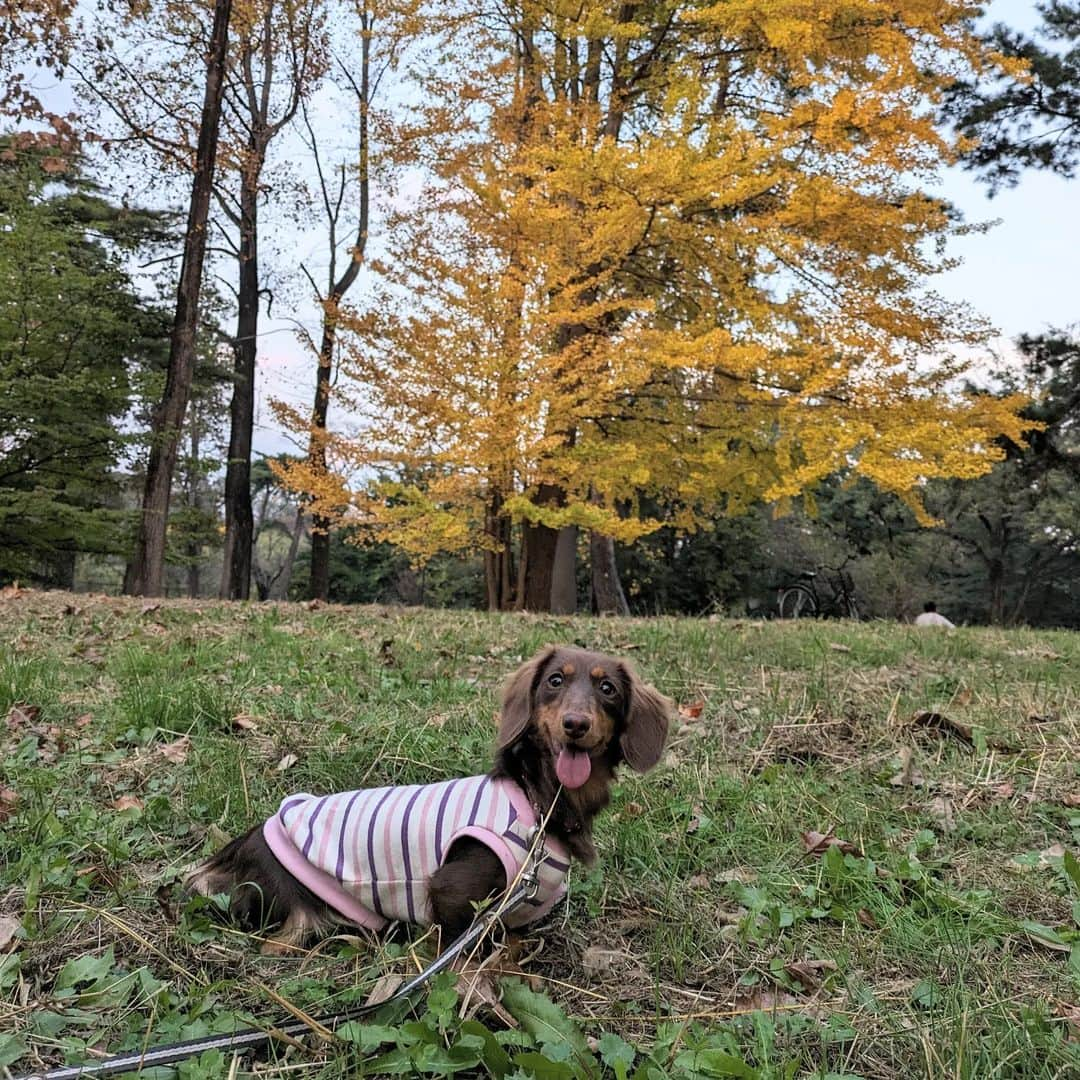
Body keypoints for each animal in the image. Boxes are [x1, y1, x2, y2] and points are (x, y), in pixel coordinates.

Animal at [190, 639, 669, 954]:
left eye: (607, 689)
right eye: (555, 680)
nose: (575, 724)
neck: (538, 801)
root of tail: (245, 842)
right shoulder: (451, 892)